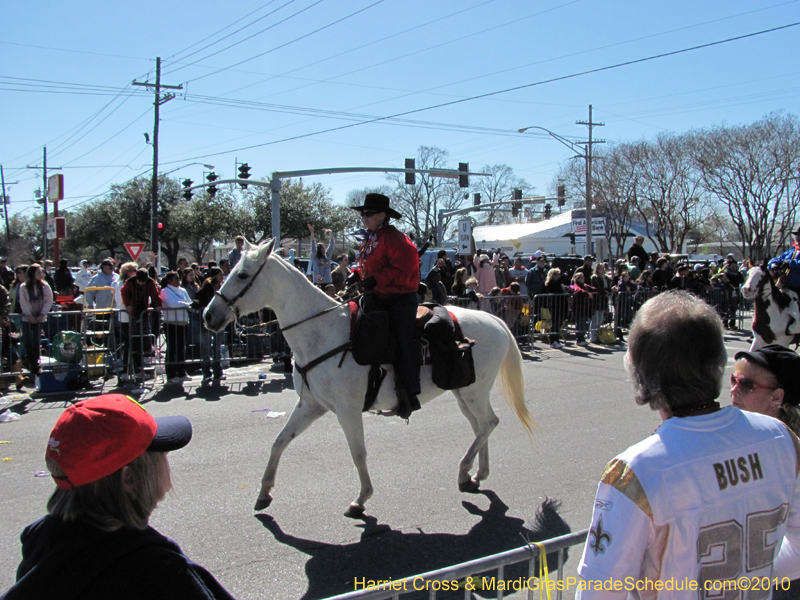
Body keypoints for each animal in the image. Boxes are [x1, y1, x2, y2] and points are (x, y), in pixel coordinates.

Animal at [203, 239, 536, 516]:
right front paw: (264, 492)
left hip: (473, 392)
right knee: (480, 426)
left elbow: (358, 453)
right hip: (462, 392)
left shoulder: (347, 411)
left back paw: (464, 470)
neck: (322, 332)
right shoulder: (310, 406)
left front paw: (361, 498)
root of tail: (493, 319)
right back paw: (476, 475)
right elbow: (279, 441)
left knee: (489, 423)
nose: (208, 315)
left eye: (243, 275)